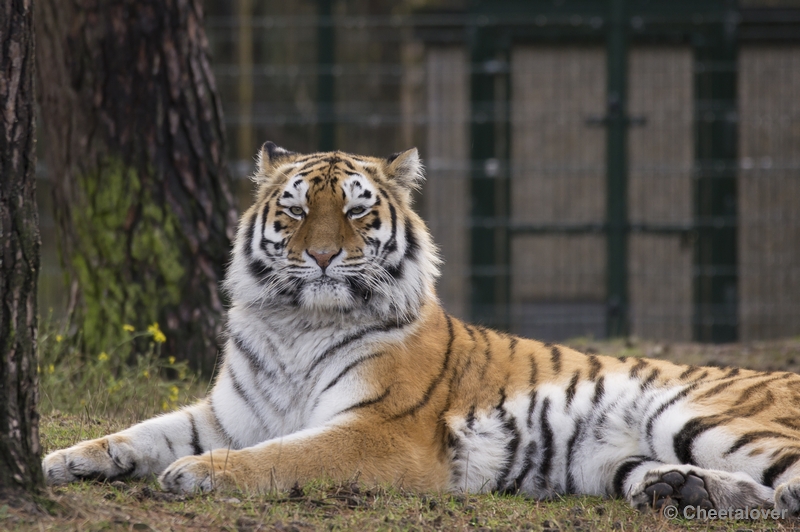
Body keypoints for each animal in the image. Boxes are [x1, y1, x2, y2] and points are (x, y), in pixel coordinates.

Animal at [42, 142, 800, 516]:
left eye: (355, 211)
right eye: (294, 210)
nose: (322, 255)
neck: (295, 323)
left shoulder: (380, 432)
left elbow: (283, 455)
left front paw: (197, 474)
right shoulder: (229, 412)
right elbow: (145, 430)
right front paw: (66, 458)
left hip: (699, 415)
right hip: (623, 458)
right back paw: (686, 492)